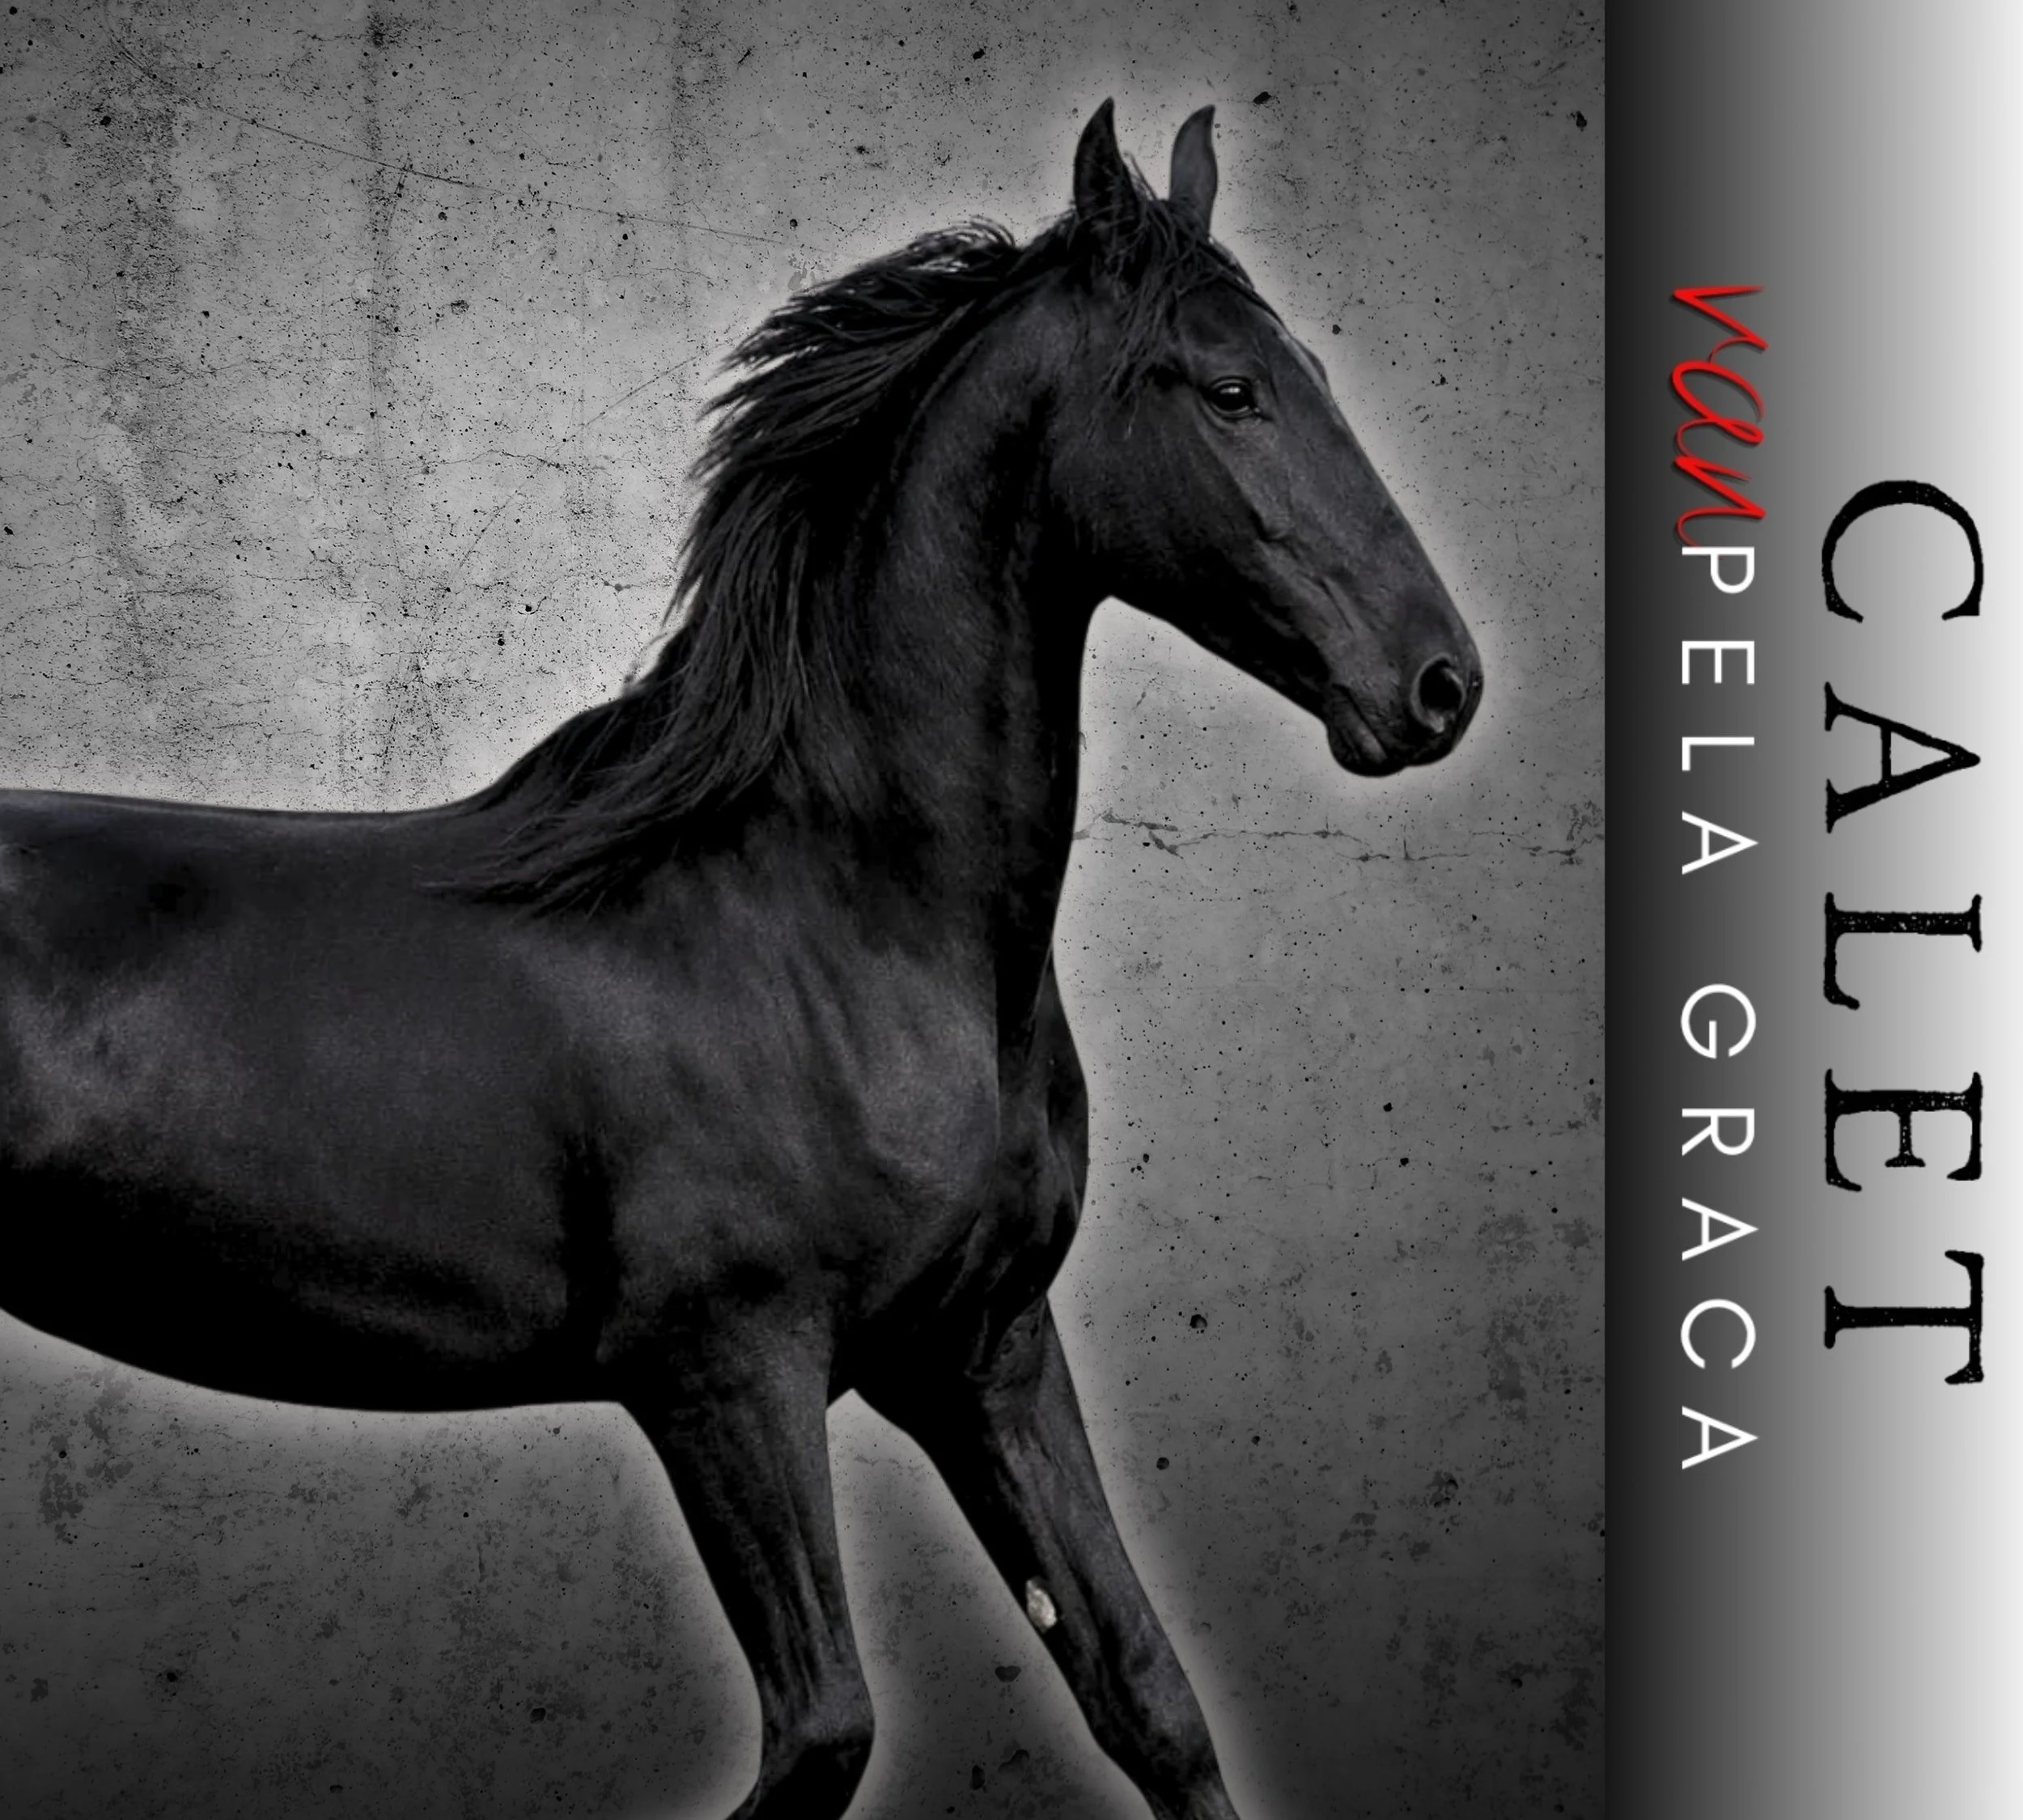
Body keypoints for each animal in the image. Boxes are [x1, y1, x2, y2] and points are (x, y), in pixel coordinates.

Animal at [0, 103, 1479, 1820]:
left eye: (1309, 363)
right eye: (1227, 385)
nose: (1440, 683)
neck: (834, 933)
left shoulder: (983, 1349)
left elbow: (1152, 1699)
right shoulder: (725, 1370)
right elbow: (822, 1727)